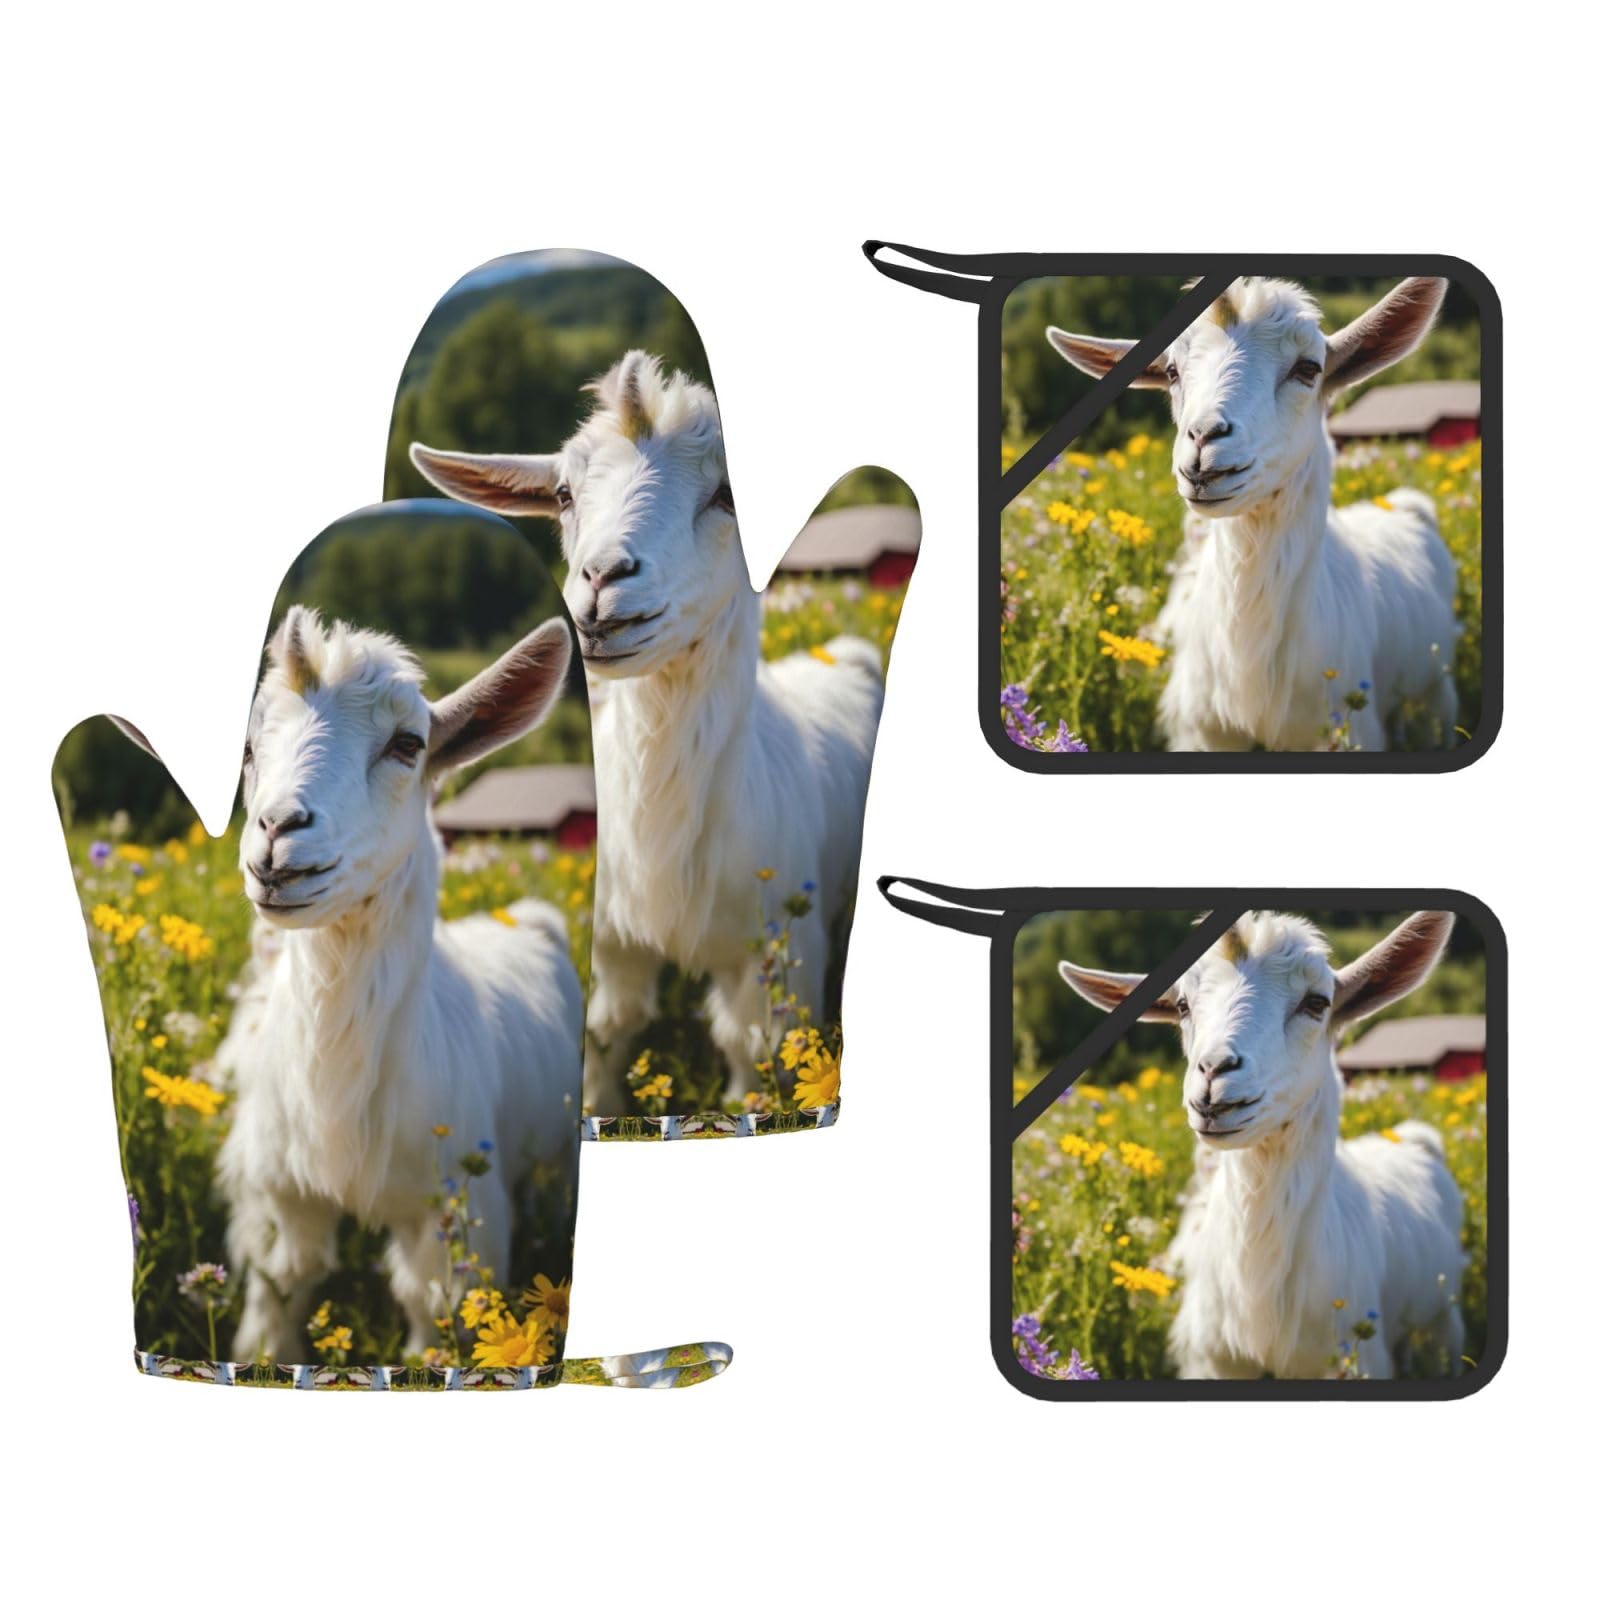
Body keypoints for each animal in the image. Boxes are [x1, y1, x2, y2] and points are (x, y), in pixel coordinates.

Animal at [217, 605, 582, 1360]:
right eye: (248, 750)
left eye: (408, 744)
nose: (277, 836)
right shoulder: (278, 1197)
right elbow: (280, 1290)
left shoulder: (451, 1210)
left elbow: (432, 1310)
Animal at [410, 352, 885, 1111]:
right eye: (564, 493)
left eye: (727, 494)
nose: (604, 582)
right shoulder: (613, 944)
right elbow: (608, 1033)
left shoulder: (779, 947)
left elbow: (755, 1052)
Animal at [1048, 277, 1460, 751]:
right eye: (1171, 372)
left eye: (1308, 368)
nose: (1204, 441)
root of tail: (1406, 505)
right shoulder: (1204, 731)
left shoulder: (1348, 728)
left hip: (1436, 690)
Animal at [1059, 911, 1466, 1379]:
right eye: (1182, 1006)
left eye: (1317, 1003)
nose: (1215, 1074)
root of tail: (1414, 1138)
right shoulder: (1214, 1360)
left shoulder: (1356, 1357)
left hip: (1443, 1318)